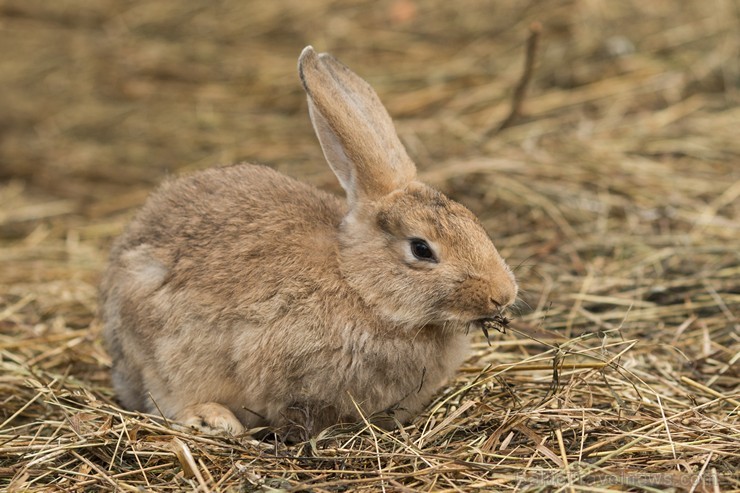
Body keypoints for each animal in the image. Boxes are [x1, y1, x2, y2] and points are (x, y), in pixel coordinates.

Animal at [98, 46, 516, 438]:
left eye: (473, 221)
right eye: (421, 249)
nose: (503, 295)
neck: (357, 283)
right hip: (160, 353)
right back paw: (214, 419)